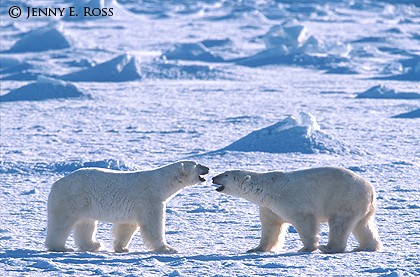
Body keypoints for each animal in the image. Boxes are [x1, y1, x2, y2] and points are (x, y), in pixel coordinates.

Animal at [45, 160, 209, 252]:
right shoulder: (150, 200)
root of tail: (55, 184)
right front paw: (167, 248)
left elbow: (126, 227)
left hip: (85, 204)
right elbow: (153, 225)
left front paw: (121, 248)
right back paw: (59, 247)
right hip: (72, 199)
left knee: (86, 223)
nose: (208, 168)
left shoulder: (135, 207)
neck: (159, 184)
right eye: (197, 165)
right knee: (61, 223)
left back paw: (93, 245)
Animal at [213, 165, 384, 253]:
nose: (214, 177)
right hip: (360, 205)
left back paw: (328, 248)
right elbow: (270, 227)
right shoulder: (269, 207)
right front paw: (256, 249)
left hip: (344, 198)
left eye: (226, 174)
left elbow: (305, 222)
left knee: (339, 224)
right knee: (363, 225)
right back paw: (365, 247)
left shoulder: (290, 200)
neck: (267, 187)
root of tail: (371, 189)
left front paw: (306, 248)